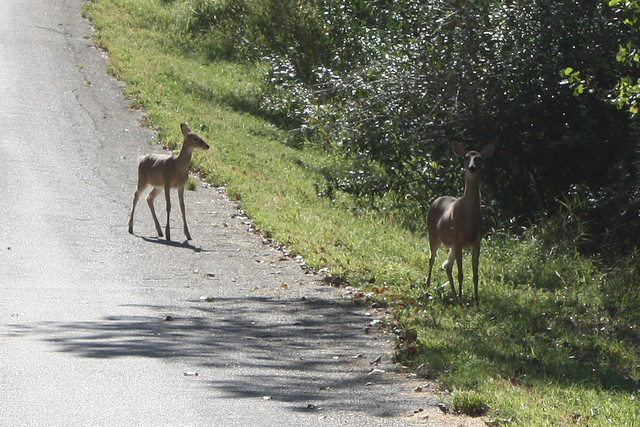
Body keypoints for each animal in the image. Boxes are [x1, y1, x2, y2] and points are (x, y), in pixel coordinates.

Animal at [426, 143, 495, 303]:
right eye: (465, 157)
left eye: (479, 158)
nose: (471, 167)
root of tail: (436, 200)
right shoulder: (458, 238)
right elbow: (461, 273)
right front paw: (463, 298)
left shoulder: (476, 241)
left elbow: (475, 275)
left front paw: (476, 300)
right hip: (433, 234)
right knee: (432, 258)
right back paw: (428, 286)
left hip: (451, 245)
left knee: (446, 265)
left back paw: (455, 297)